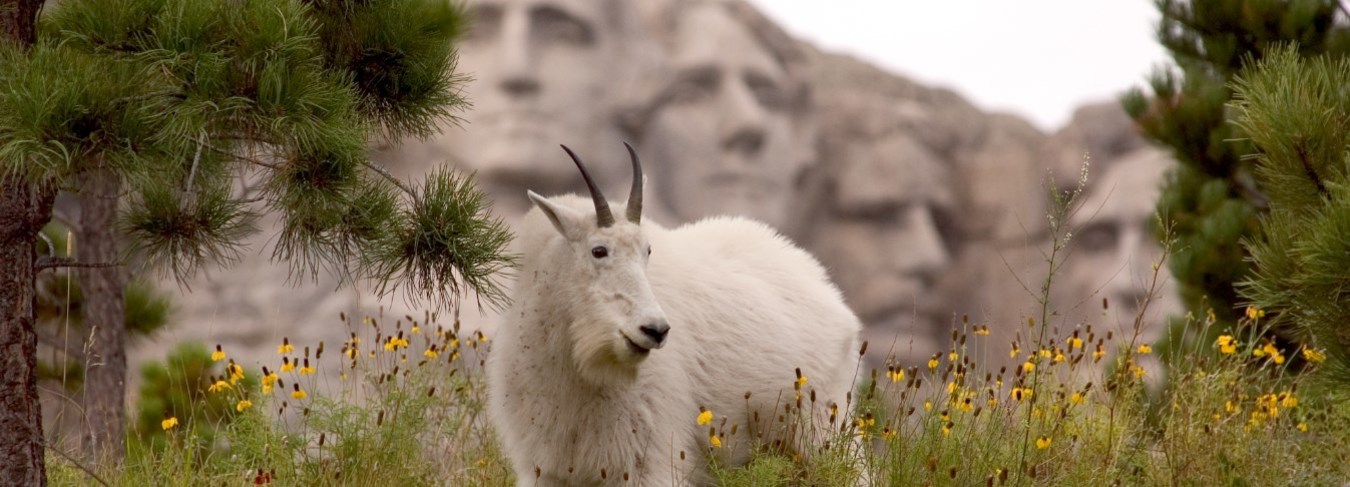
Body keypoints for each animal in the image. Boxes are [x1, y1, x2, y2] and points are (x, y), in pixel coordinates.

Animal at [486, 142, 864, 482]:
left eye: (647, 250)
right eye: (598, 250)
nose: (655, 330)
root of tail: (823, 282)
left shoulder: (649, 460)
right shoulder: (546, 469)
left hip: (822, 425)